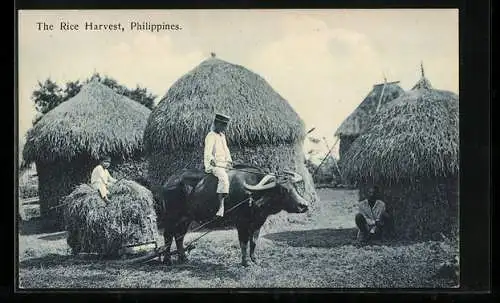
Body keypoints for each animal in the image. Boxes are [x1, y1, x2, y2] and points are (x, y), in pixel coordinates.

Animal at [158, 165, 310, 268]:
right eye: (282, 190)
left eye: (295, 187)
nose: (304, 205)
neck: (253, 195)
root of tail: (169, 181)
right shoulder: (241, 223)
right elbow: (244, 242)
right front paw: (246, 262)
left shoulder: (258, 223)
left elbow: (254, 241)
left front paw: (254, 259)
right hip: (171, 216)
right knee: (168, 236)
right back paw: (167, 260)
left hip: (185, 218)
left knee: (179, 236)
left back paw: (183, 258)